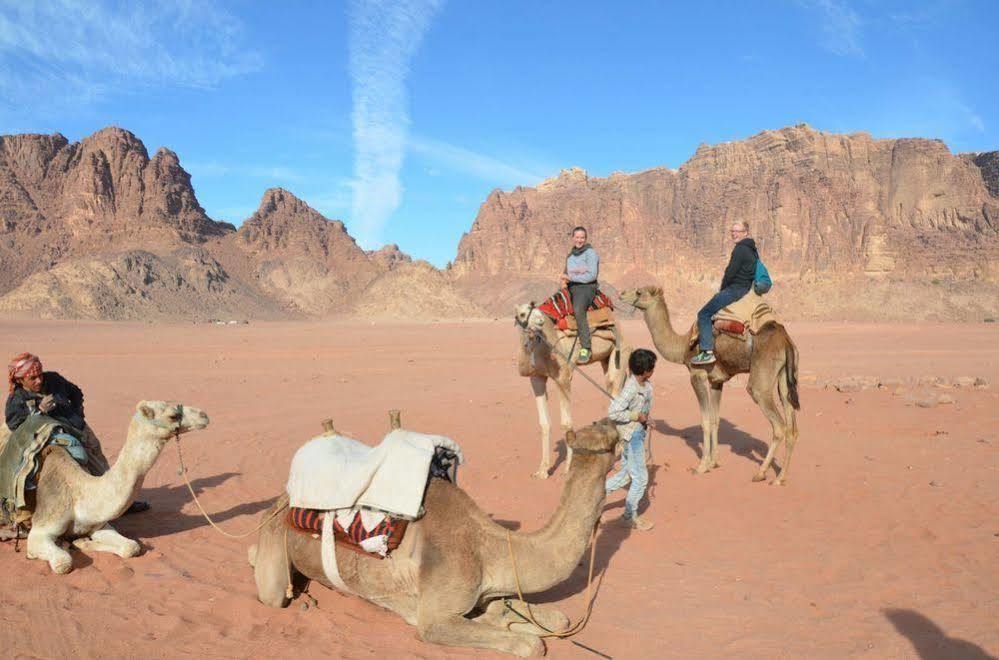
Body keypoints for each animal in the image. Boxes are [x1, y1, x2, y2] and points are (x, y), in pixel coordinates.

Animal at [4, 400, 209, 576]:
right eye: (173, 415)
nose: (204, 415)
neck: (79, 493)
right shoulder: (41, 528)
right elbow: (63, 563)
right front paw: (61, 545)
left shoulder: (99, 524)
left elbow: (131, 547)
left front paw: (81, 541)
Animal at [250, 420, 620, 656]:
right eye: (610, 443)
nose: (616, 426)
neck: (491, 547)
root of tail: (284, 497)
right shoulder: (435, 617)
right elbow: (531, 646)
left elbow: (557, 617)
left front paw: (510, 617)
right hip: (275, 539)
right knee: (271, 590)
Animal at [620, 284, 800, 484]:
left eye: (638, 292)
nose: (621, 294)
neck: (683, 346)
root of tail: (785, 340)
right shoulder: (716, 381)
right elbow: (715, 419)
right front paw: (714, 462)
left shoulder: (697, 374)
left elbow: (705, 421)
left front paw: (702, 466)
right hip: (785, 376)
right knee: (792, 425)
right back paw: (781, 477)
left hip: (761, 381)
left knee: (778, 425)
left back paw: (761, 473)